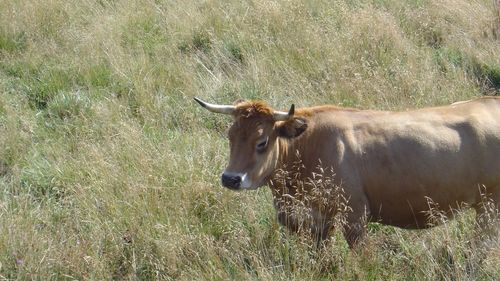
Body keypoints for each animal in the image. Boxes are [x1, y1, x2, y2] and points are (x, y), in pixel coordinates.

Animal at [196, 96, 500, 245]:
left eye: (262, 142)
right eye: (230, 136)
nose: (231, 178)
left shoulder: (354, 216)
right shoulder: (316, 222)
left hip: (489, 208)